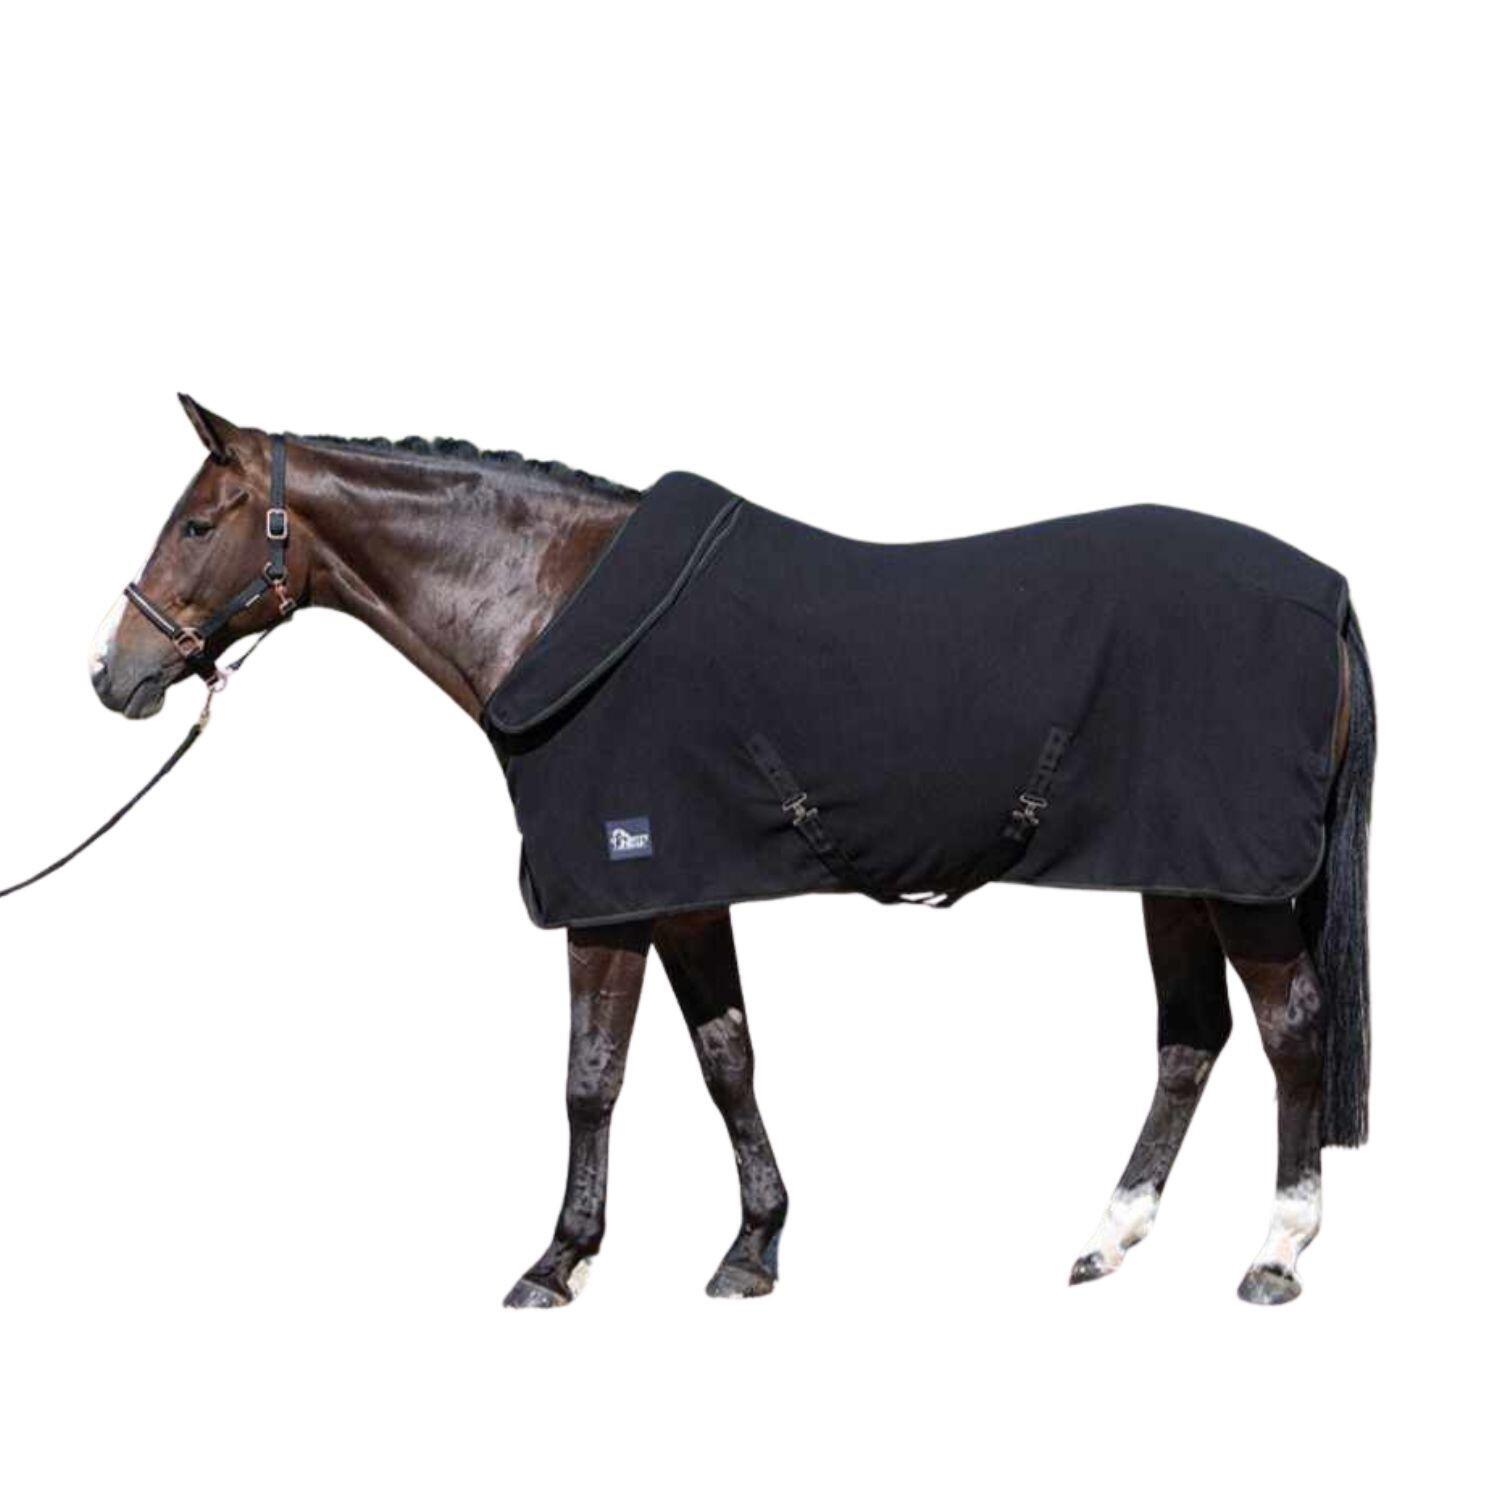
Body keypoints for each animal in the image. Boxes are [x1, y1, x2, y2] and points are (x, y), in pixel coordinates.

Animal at [89, 396, 1374, 1307]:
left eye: (196, 523)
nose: (115, 675)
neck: (551, 602)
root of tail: (1327, 592)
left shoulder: (609, 898)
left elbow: (590, 1078)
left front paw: (557, 1262)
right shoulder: (689, 896)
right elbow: (727, 1062)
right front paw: (753, 1248)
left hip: (1239, 884)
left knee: (1291, 1027)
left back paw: (1277, 1253)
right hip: (1179, 872)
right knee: (1191, 1040)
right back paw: (1109, 1240)